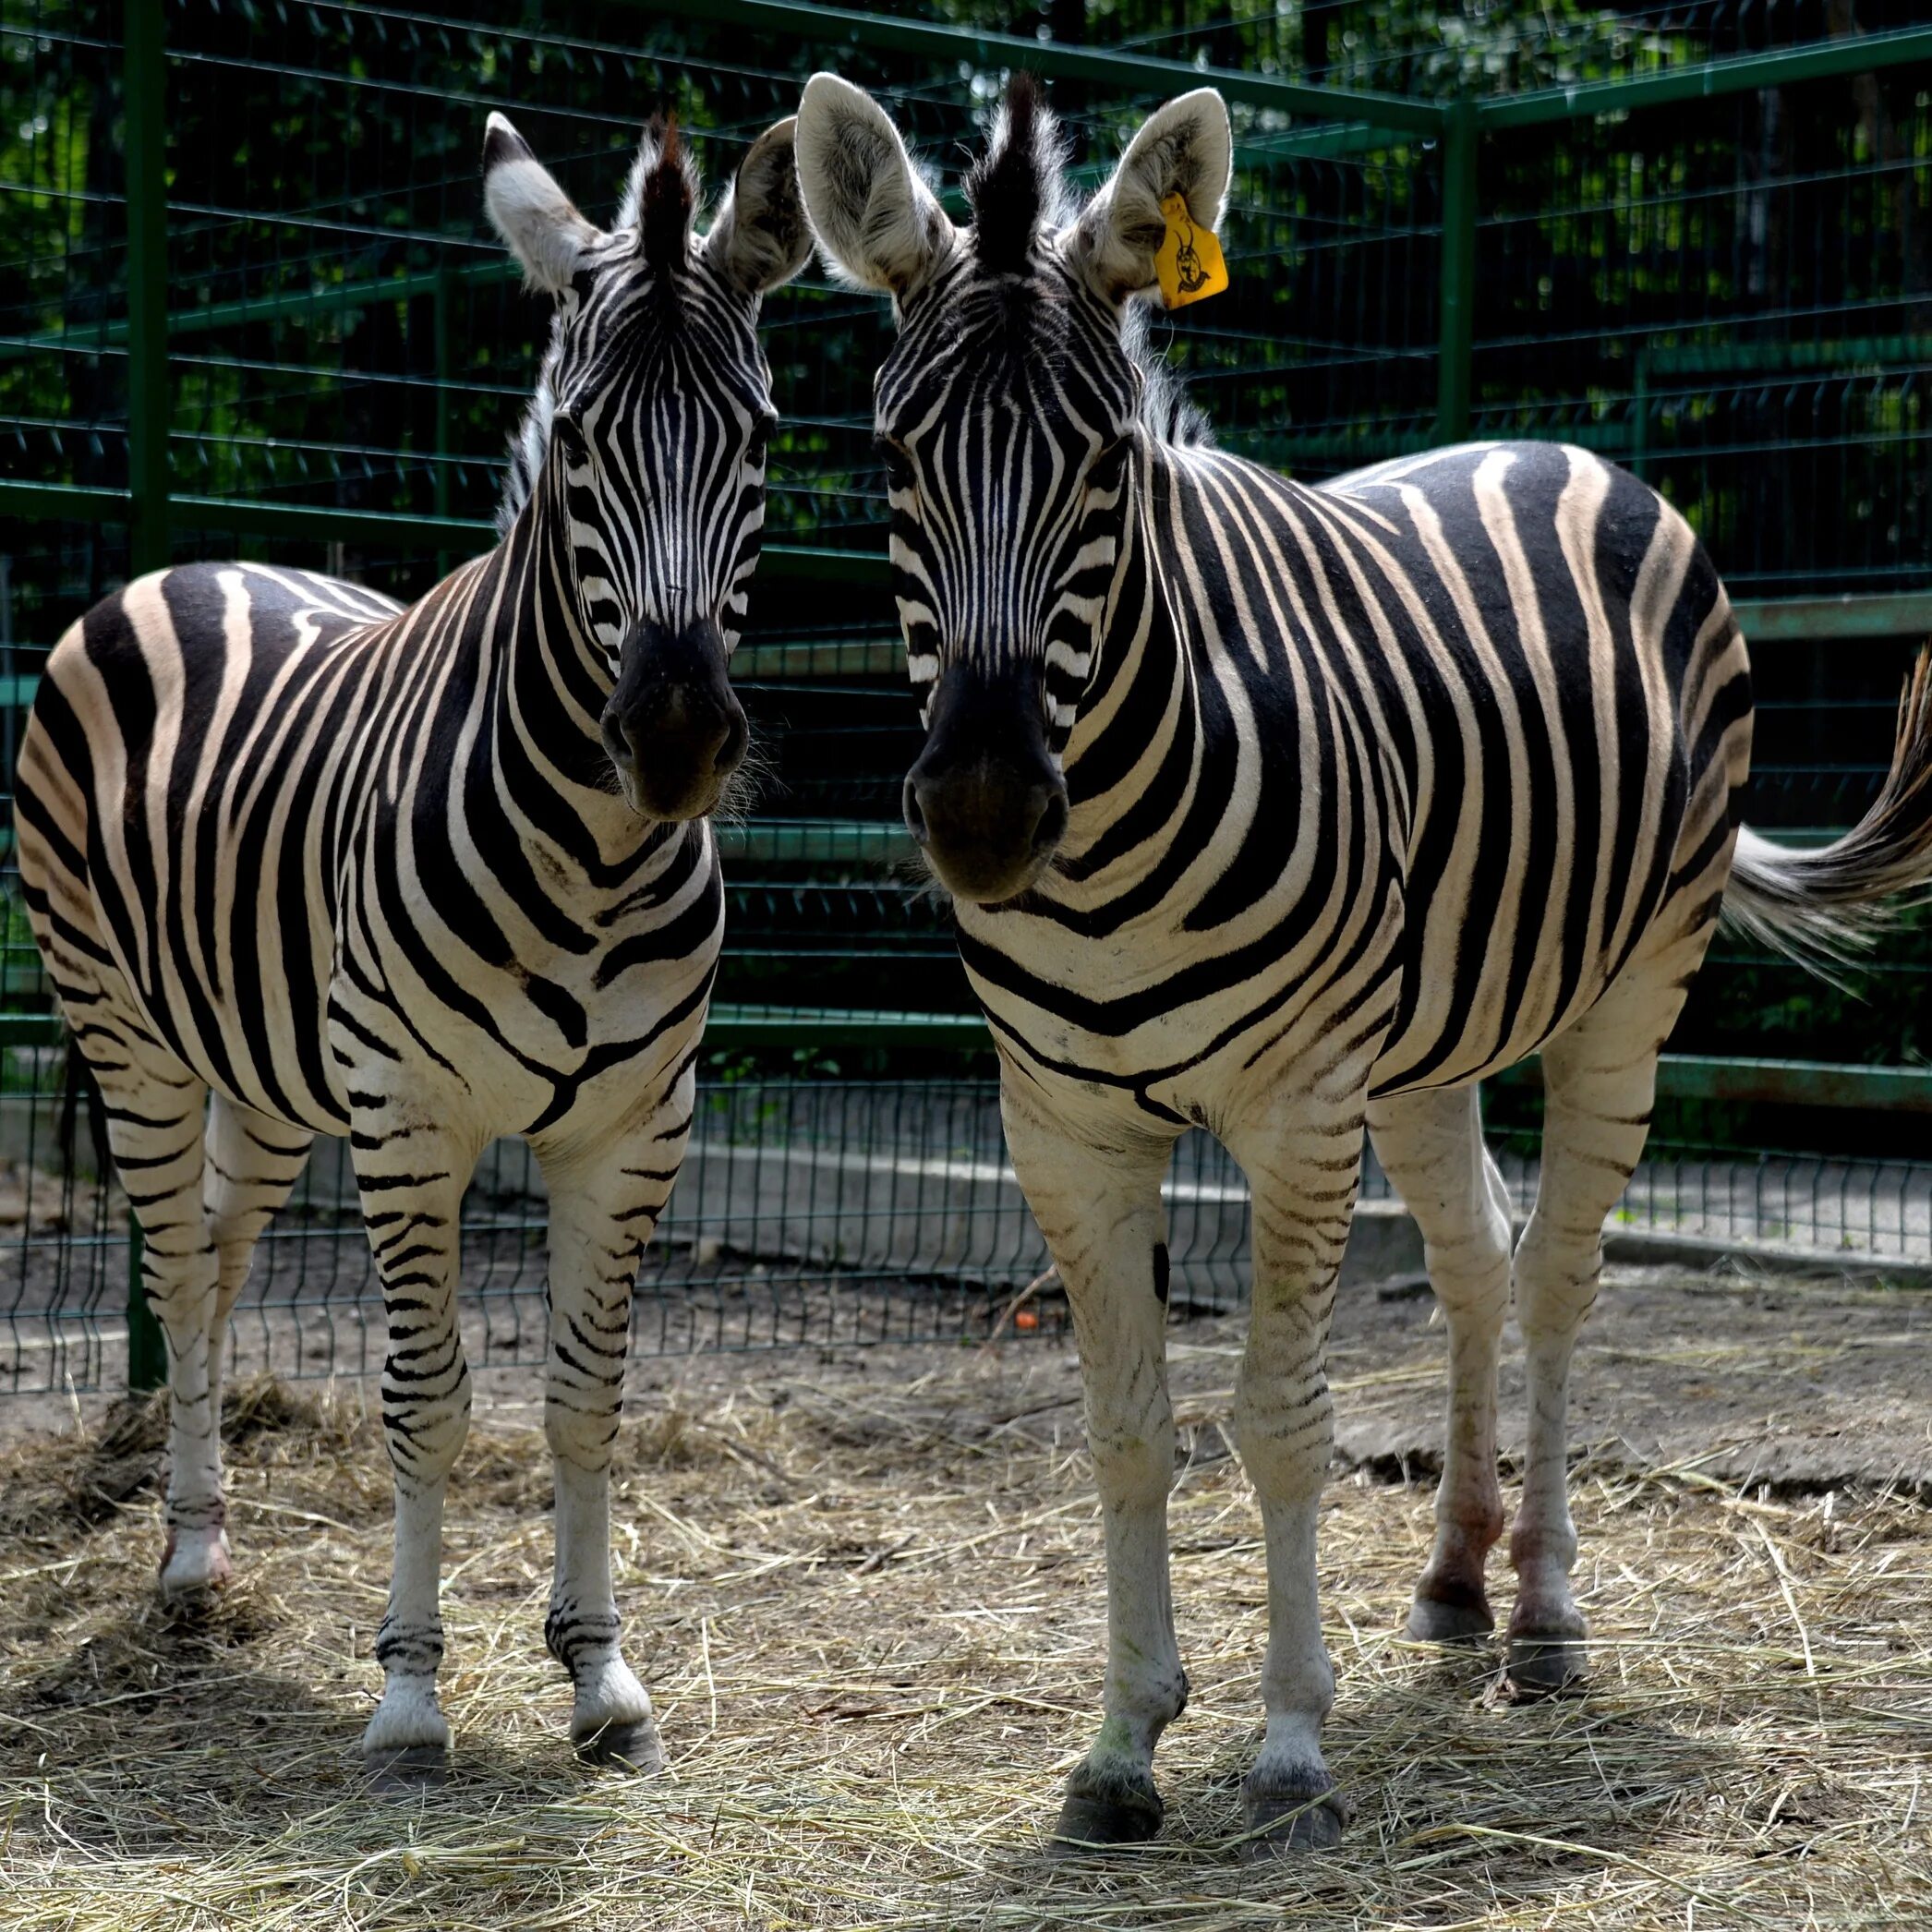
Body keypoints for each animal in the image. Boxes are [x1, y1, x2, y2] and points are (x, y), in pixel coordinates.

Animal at [9, 109, 807, 1777]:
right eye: (575, 442)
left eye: (760, 437)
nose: (678, 737)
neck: (593, 853)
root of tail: (192, 564)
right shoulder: (412, 1120)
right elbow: (428, 1397)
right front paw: (409, 1691)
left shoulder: (638, 1125)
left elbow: (583, 1397)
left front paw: (598, 1672)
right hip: (130, 1034)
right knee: (175, 1273)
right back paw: (186, 1564)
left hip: (268, 1070)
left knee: (222, 1261)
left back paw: (210, 1537)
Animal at [791, 71, 1932, 1854]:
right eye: (893, 458)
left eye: (1108, 466)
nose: (981, 815)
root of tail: (1558, 447)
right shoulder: (1064, 1126)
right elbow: (1125, 1432)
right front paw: (1122, 1743)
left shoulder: (1292, 1109)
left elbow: (1275, 1420)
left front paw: (1284, 1743)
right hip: (1425, 1045)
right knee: (1476, 1260)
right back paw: (1458, 1579)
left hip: (1627, 991)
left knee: (1557, 1275)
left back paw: (1543, 1613)